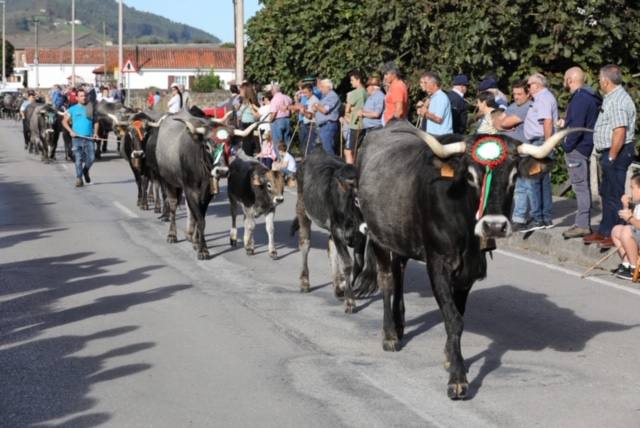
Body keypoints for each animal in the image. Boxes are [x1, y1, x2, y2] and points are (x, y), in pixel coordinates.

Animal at [290, 149, 376, 312]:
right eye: (356, 200)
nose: (369, 227)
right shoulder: (337, 231)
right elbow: (347, 264)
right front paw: (350, 301)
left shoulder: (359, 235)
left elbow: (358, 263)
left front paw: (343, 287)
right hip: (302, 207)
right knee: (305, 244)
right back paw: (305, 282)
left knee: (330, 247)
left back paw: (337, 285)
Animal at [358, 118, 588, 400]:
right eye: (470, 176)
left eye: (514, 177)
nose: (494, 226)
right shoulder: (438, 264)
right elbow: (454, 319)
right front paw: (457, 379)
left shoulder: (469, 271)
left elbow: (457, 315)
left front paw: (450, 357)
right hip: (378, 237)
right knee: (388, 280)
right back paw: (390, 334)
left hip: (400, 235)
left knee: (399, 271)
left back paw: (400, 325)